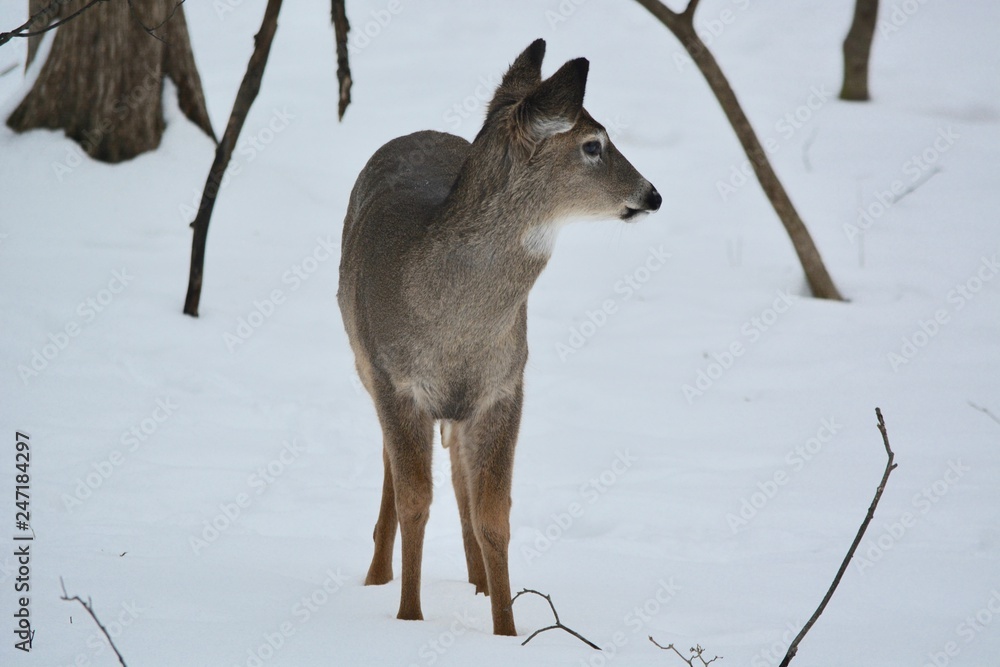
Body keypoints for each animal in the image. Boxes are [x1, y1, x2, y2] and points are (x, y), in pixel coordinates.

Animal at [337, 38, 661, 636]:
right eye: (593, 144)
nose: (651, 195)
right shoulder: (396, 381)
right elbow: (415, 501)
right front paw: (409, 618)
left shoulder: (505, 386)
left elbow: (494, 515)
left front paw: (506, 629)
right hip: (364, 365)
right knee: (395, 469)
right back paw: (377, 576)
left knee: (460, 479)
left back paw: (478, 584)